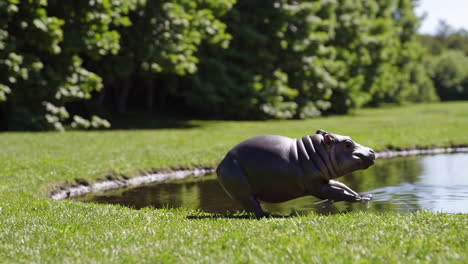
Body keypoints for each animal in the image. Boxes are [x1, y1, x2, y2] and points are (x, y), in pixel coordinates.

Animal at [217, 129, 376, 218]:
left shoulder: (324, 180)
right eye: (348, 144)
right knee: (253, 205)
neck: (317, 151)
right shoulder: (316, 186)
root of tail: (221, 164)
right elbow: (337, 193)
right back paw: (269, 214)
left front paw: (364, 197)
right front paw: (357, 198)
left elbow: (342, 187)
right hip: (243, 190)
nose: (372, 151)